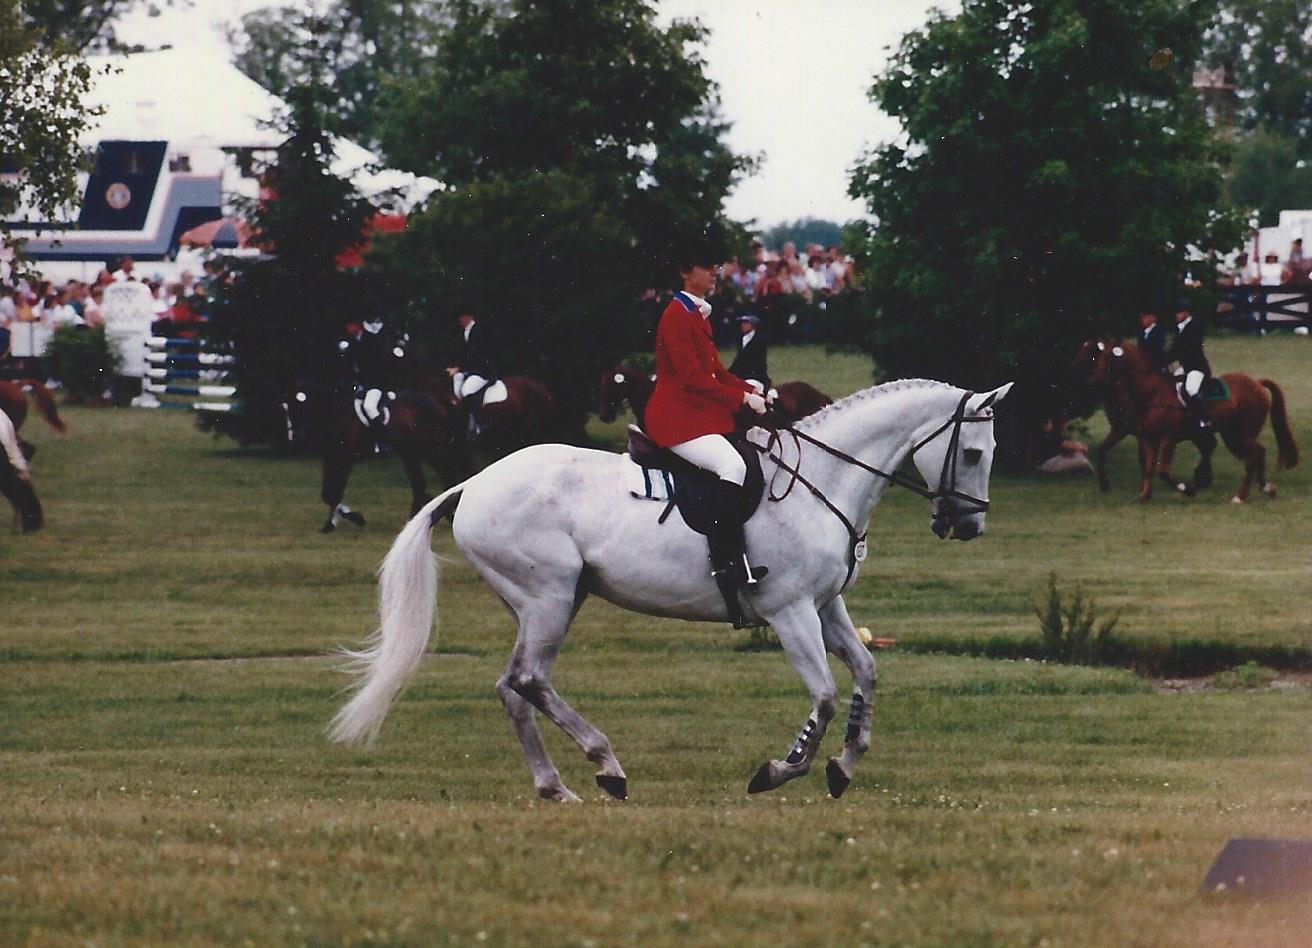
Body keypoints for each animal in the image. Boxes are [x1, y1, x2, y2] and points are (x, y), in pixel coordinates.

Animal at [328, 377, 1012, 802]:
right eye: (974, 453)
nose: (969, 525)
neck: (823, 480)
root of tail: (474, 482)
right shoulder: (791, 612)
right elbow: (821, 695)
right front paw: (779, 769)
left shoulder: (826, 606)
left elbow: (867, 672)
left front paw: (844, 766)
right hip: (549, 598)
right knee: (530, 681)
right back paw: (606, 766)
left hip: (545, 603)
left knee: (512, 686)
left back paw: (556, 786)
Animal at [1086, 340, 1291, 503]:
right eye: (1098, 356)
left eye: (1109, 358)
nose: (1094, 381)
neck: (1151, 393)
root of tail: (1256, 383)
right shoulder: (1148, 437)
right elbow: (1149, 467)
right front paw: (1144, 495)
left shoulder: (1168, 438)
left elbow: (1163, 471)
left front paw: (1188, 490)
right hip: (1232, 435)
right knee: (1258, 452)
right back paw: (1266, 488)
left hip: (1242, 434)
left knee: (1252, 456)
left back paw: (1240, 497)